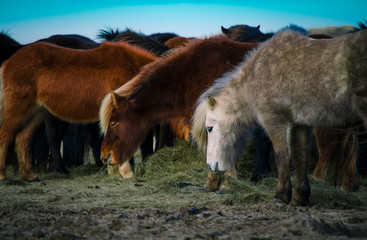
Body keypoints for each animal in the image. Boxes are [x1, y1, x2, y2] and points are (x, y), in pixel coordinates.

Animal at [0, 40, 158, 180]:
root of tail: (8, 62)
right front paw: (126, 172)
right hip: (18, 108)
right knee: (6, 135)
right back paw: (4, 176)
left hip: (37, 112)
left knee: (23, 139)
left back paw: (30, 176)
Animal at [193, 28, 367, 204]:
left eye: (209, 128)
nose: (211, 165)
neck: (258, 73)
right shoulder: (299, 124)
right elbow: (300, 156)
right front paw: (300, 196)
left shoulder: (275, 120)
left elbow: (282, 155)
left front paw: (281, 195)